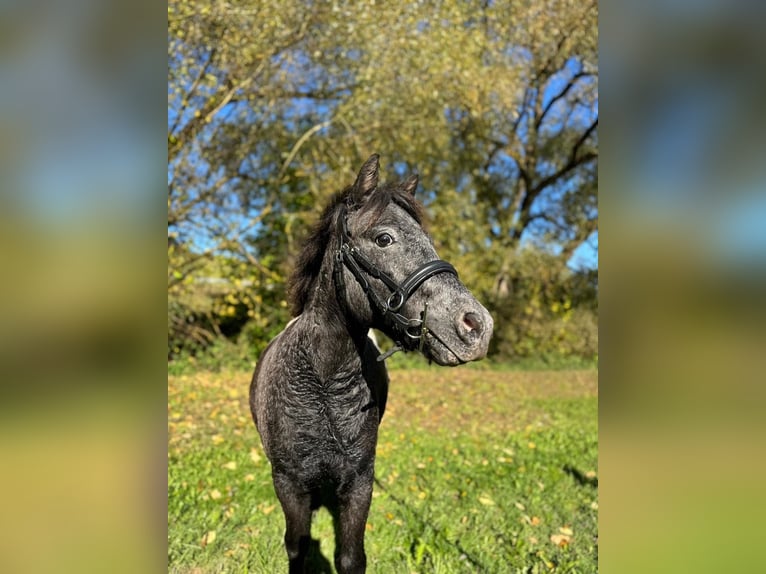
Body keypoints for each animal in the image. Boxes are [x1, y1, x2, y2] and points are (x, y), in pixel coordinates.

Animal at [249, 154, 493, 573]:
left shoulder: (360, 481)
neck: (323, 387)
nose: (478, 326)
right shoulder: (288, 484)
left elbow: (350, 557)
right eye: (384, 239)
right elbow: (298, 547)